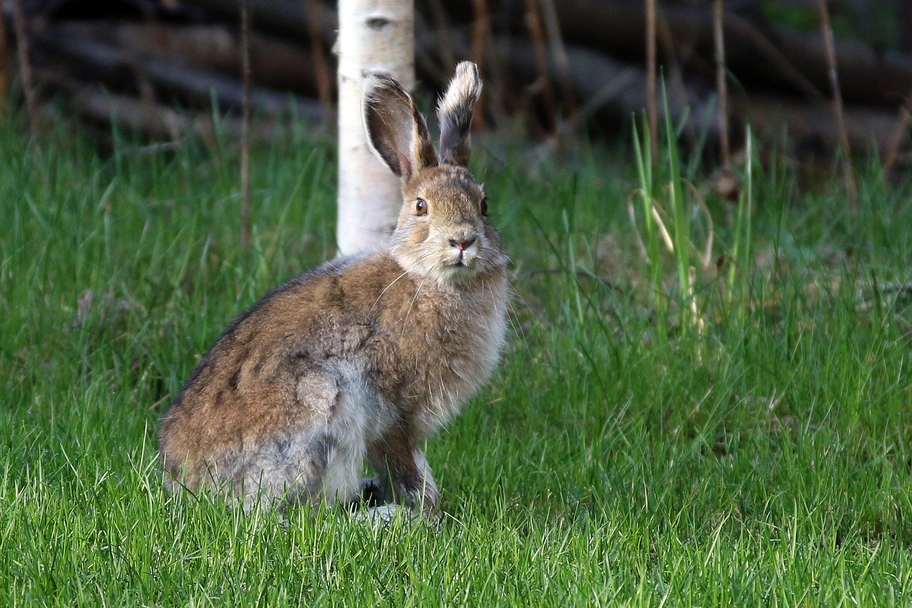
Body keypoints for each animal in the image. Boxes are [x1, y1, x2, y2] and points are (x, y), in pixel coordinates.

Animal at [158, 62, 508, 520]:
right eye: (421, 206)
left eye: (484, 205)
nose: (463, 241)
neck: (426, 279)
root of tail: (186, 483)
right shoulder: (395, 412)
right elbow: (408, 467)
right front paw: (426, 513)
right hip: (320, 409)